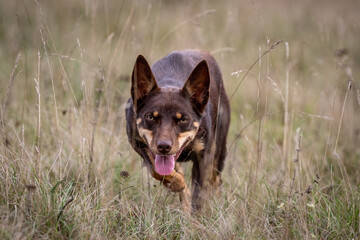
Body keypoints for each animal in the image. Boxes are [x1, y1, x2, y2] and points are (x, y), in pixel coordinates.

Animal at [125, 49, 229, 211]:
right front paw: (177, 184)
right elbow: (157, 170)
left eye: (183, 119)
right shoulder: (138, 144)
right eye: (150, 117)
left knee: (216, 180)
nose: (163, 147)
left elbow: (199, 194)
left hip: (219, 149)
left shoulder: (204, 155)